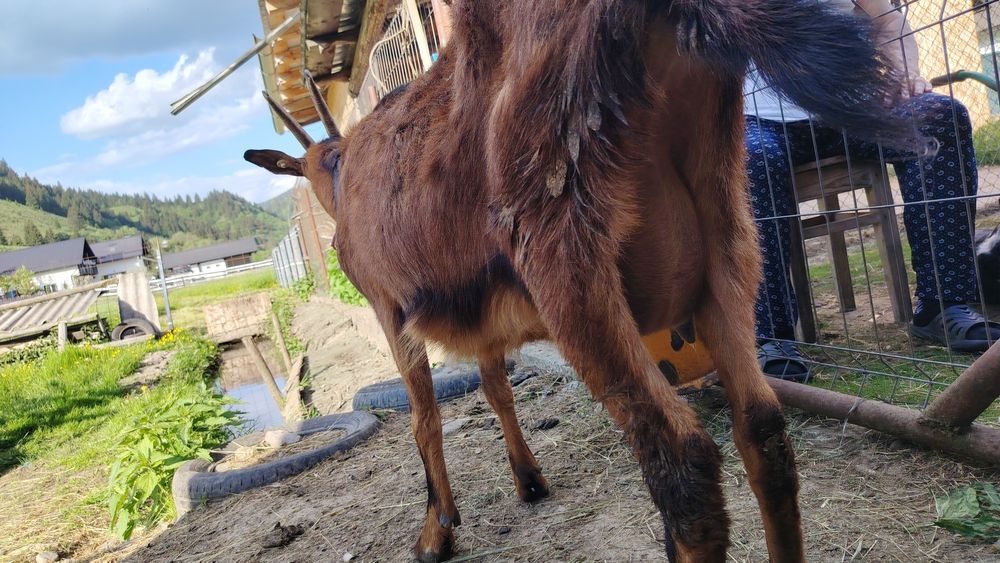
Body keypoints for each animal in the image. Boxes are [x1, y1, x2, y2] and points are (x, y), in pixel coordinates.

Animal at [246, 1, 928, 561]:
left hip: (566, 257)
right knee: (763, 429)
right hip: (728, 235)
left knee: (682, 458)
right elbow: (496, 388)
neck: (340, 169)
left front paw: (437, 531)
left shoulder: (389, 307)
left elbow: (423, 417)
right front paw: (528, 480)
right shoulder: (484, 319)